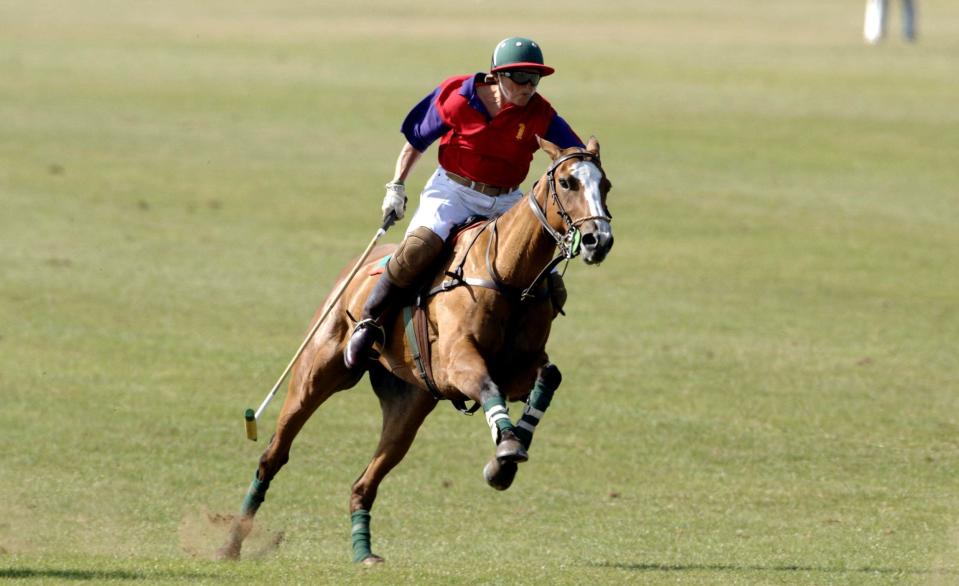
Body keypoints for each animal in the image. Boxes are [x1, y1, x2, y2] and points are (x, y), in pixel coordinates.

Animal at [219, 136, 616, 560]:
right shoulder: (457, 364)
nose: (599, 241)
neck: (508, 275)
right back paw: (231, 542)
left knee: (363, 483)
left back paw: (364, 552)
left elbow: (548, 376)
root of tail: (352, 273)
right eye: (568, 183)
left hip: (409, 404)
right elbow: (487, 385)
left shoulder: (518, 368)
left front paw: (506, 457)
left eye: (605, 185)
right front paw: (507, 449)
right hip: (315, 375)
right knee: (273, 456)